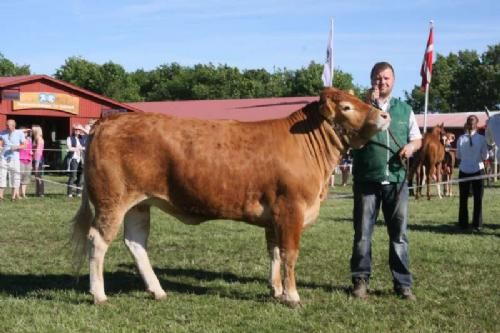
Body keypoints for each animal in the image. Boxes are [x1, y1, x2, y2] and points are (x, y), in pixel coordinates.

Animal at [71, 87, 390, 306]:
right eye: (347, 106)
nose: (384, 115)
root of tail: (108, 122)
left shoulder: (274, 217)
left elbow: (274, 252)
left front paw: (276, 290)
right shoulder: (291, 209)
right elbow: (289, 254)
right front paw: (292, 296)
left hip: (140, 203)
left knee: (135, 243)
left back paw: (157, 290)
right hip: (112, 201)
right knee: (97, 240)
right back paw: (99, 294)